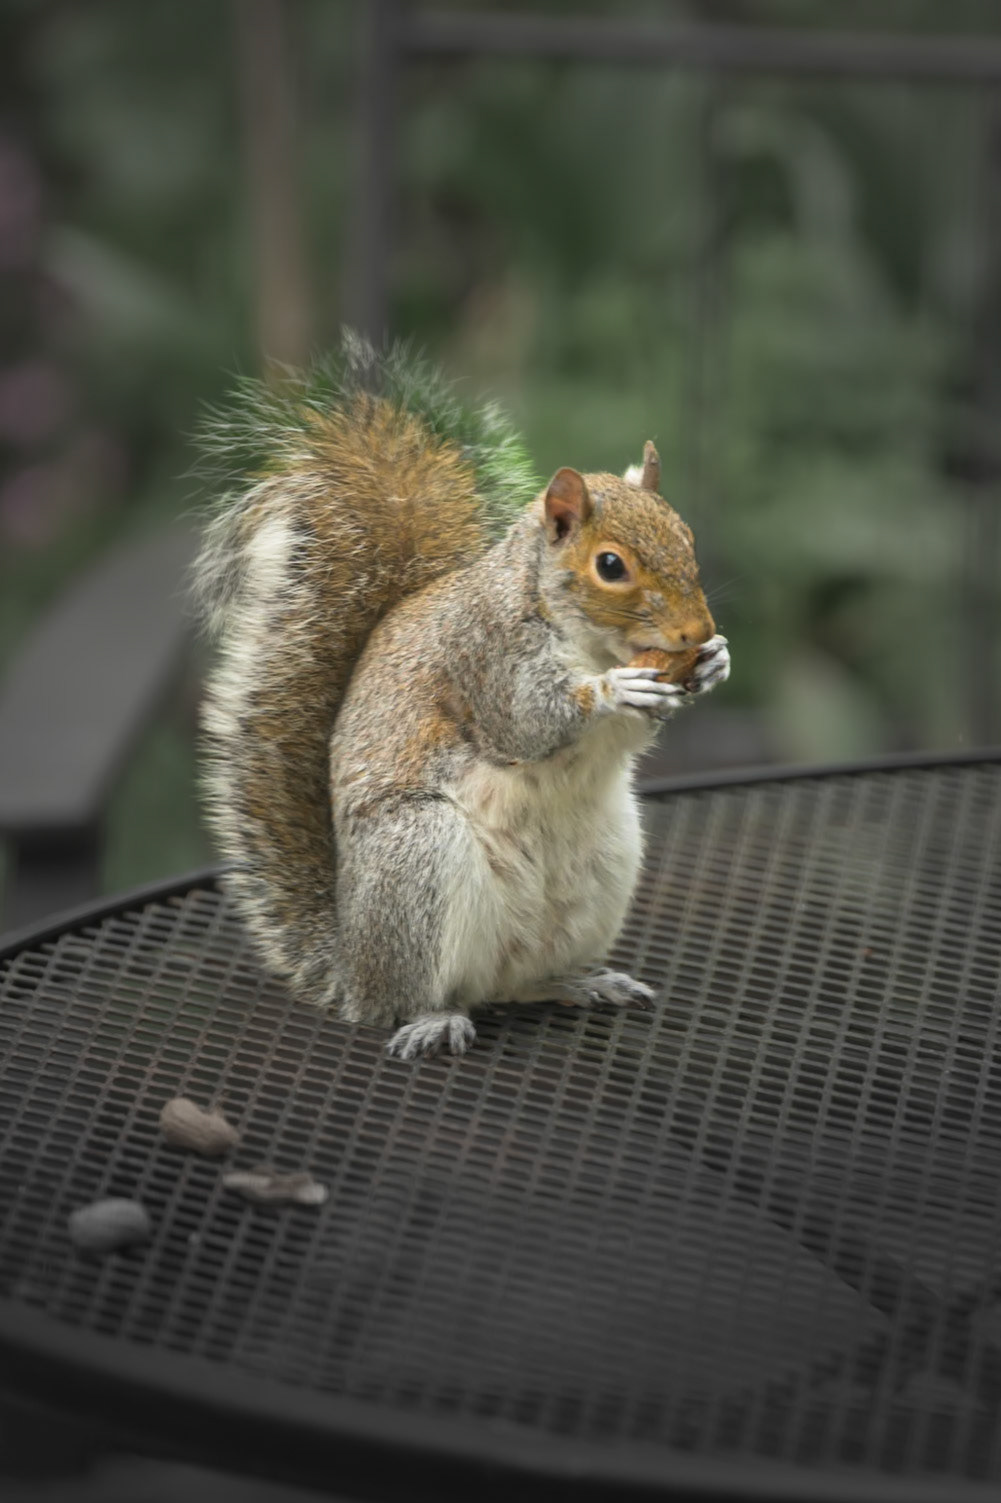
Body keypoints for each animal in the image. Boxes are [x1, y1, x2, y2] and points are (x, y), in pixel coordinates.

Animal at [194, 334, 730, 1059]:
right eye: (611, 565)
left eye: (687, 538)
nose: (695, 631)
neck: (587, 639)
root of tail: (352, 970)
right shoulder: (484, 655)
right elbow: (527, 722)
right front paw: (613, 688)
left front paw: (713, 662)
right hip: (417, 858)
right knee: (420, 995)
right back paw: (432, 1018)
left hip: (608, 862)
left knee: (518, 982)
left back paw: (581, 981)